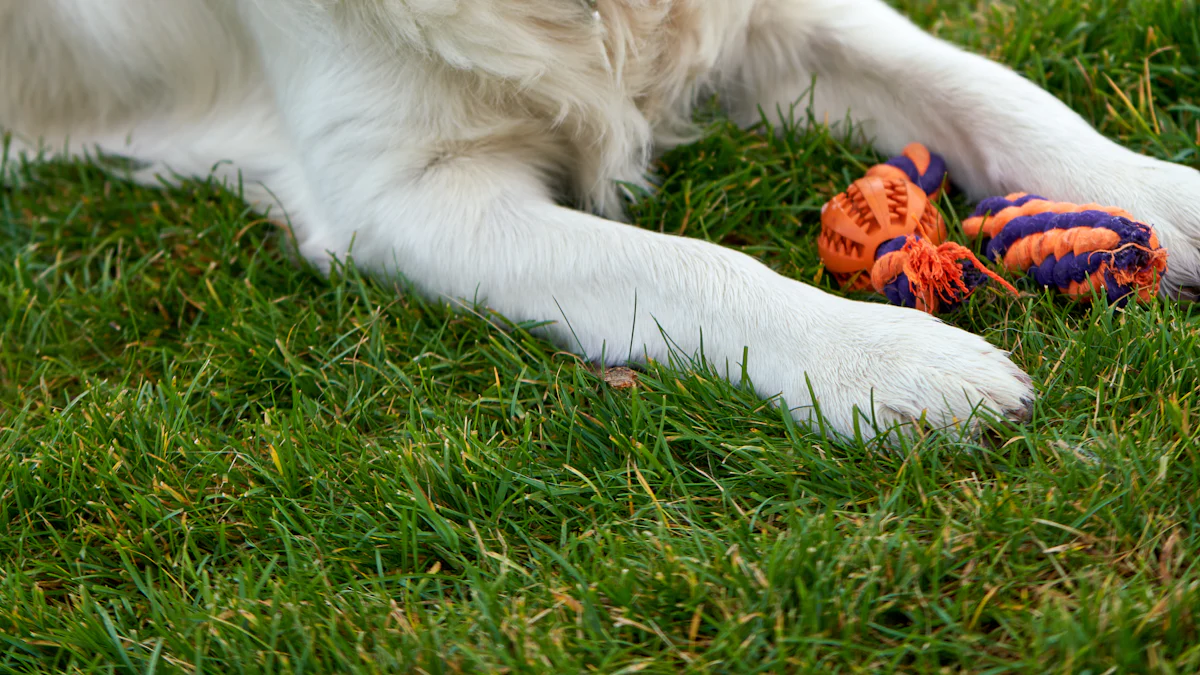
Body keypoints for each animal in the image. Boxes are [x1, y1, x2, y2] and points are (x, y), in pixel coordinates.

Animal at [2, 0, 1200, 439]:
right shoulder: (407, 191)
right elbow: (689, 264)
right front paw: (890, 362)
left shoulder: (785, 24)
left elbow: (992, 89)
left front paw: (1164, 199)